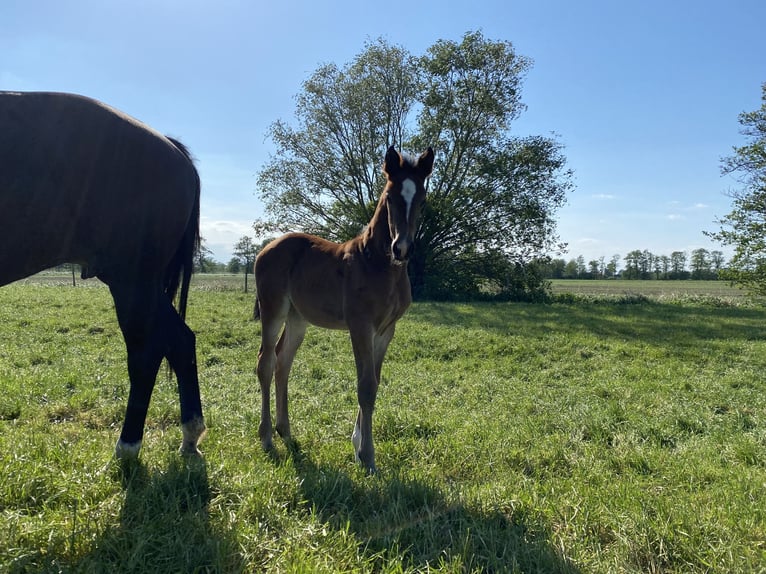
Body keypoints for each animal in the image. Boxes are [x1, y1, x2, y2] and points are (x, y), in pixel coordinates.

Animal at [0, 93, 207, 464]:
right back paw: (189, 436)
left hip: (132, 282)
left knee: (146, 353)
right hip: (144, 286)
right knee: (181, 342)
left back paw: (128, 447)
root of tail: (174, 150)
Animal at [255, 146, 436, 474]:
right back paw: (266, 438)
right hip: (273, 308)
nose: (402, 248)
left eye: (423, 199)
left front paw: (358, 446)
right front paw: (367, 457)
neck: (377, 264)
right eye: (389, 196)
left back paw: (285, 430)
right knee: (265, 362)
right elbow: (365, 386)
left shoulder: (385, 331)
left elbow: (374, 383)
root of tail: (267, 248)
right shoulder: (360, 325)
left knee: (282, 362)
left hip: (298, 318)